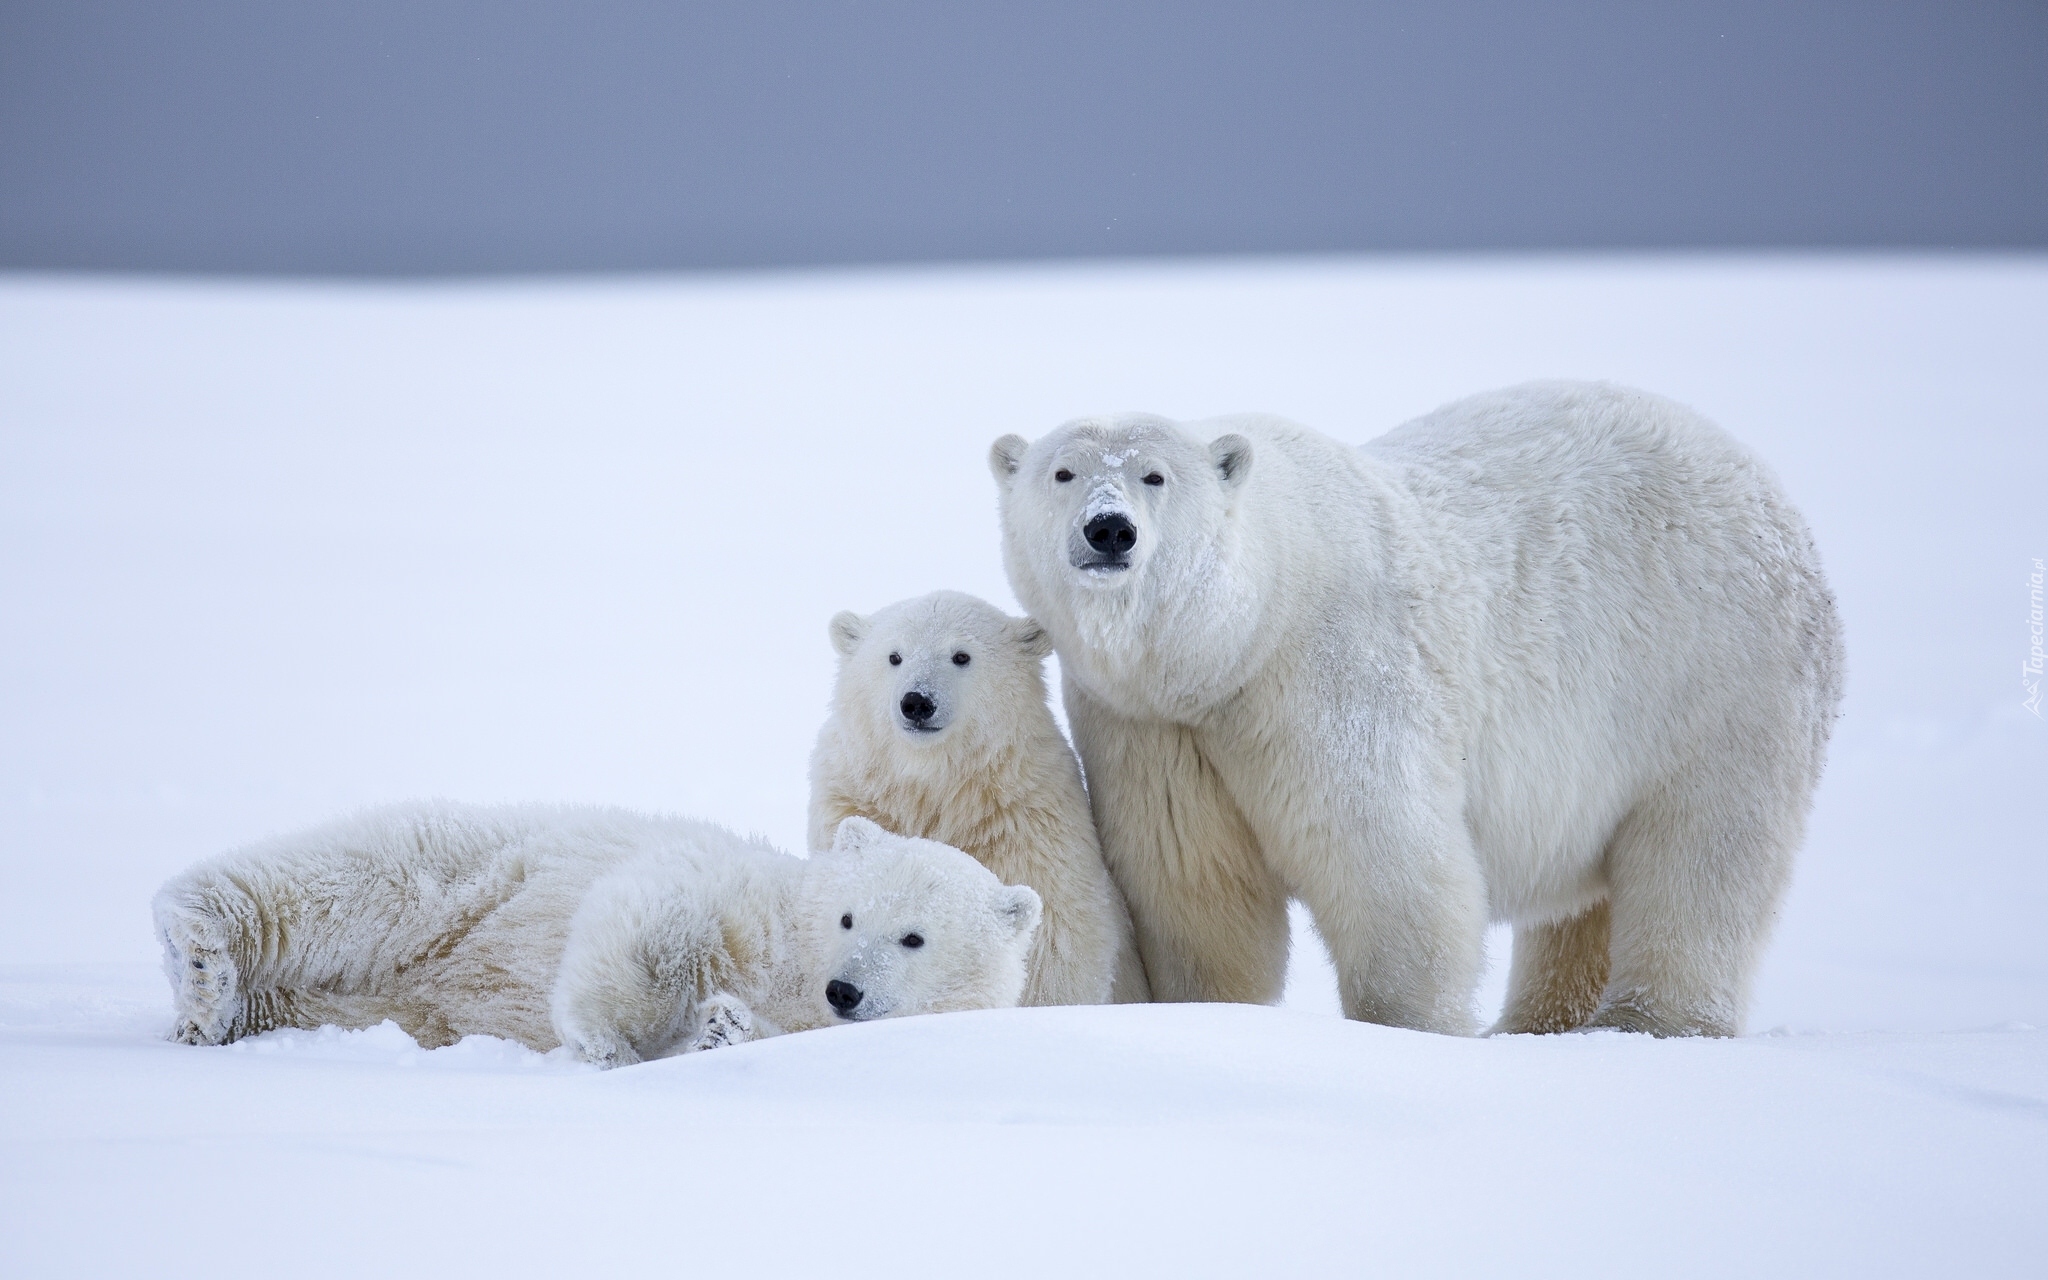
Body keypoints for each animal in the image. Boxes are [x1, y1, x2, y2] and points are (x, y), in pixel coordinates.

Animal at [991, 380, 1843, 1040]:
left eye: (1156, 475)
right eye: (1062, 472)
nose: (1110, 530)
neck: (1235, 639)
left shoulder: (1329, 670)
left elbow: (1386, 858)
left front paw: (1410, 1030)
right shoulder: (1151, 725)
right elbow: (1194, 886)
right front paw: (1207, 1010)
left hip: (1717, 676)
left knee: (1704, 854)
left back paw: (1649, 1022)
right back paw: (1539, 1023)